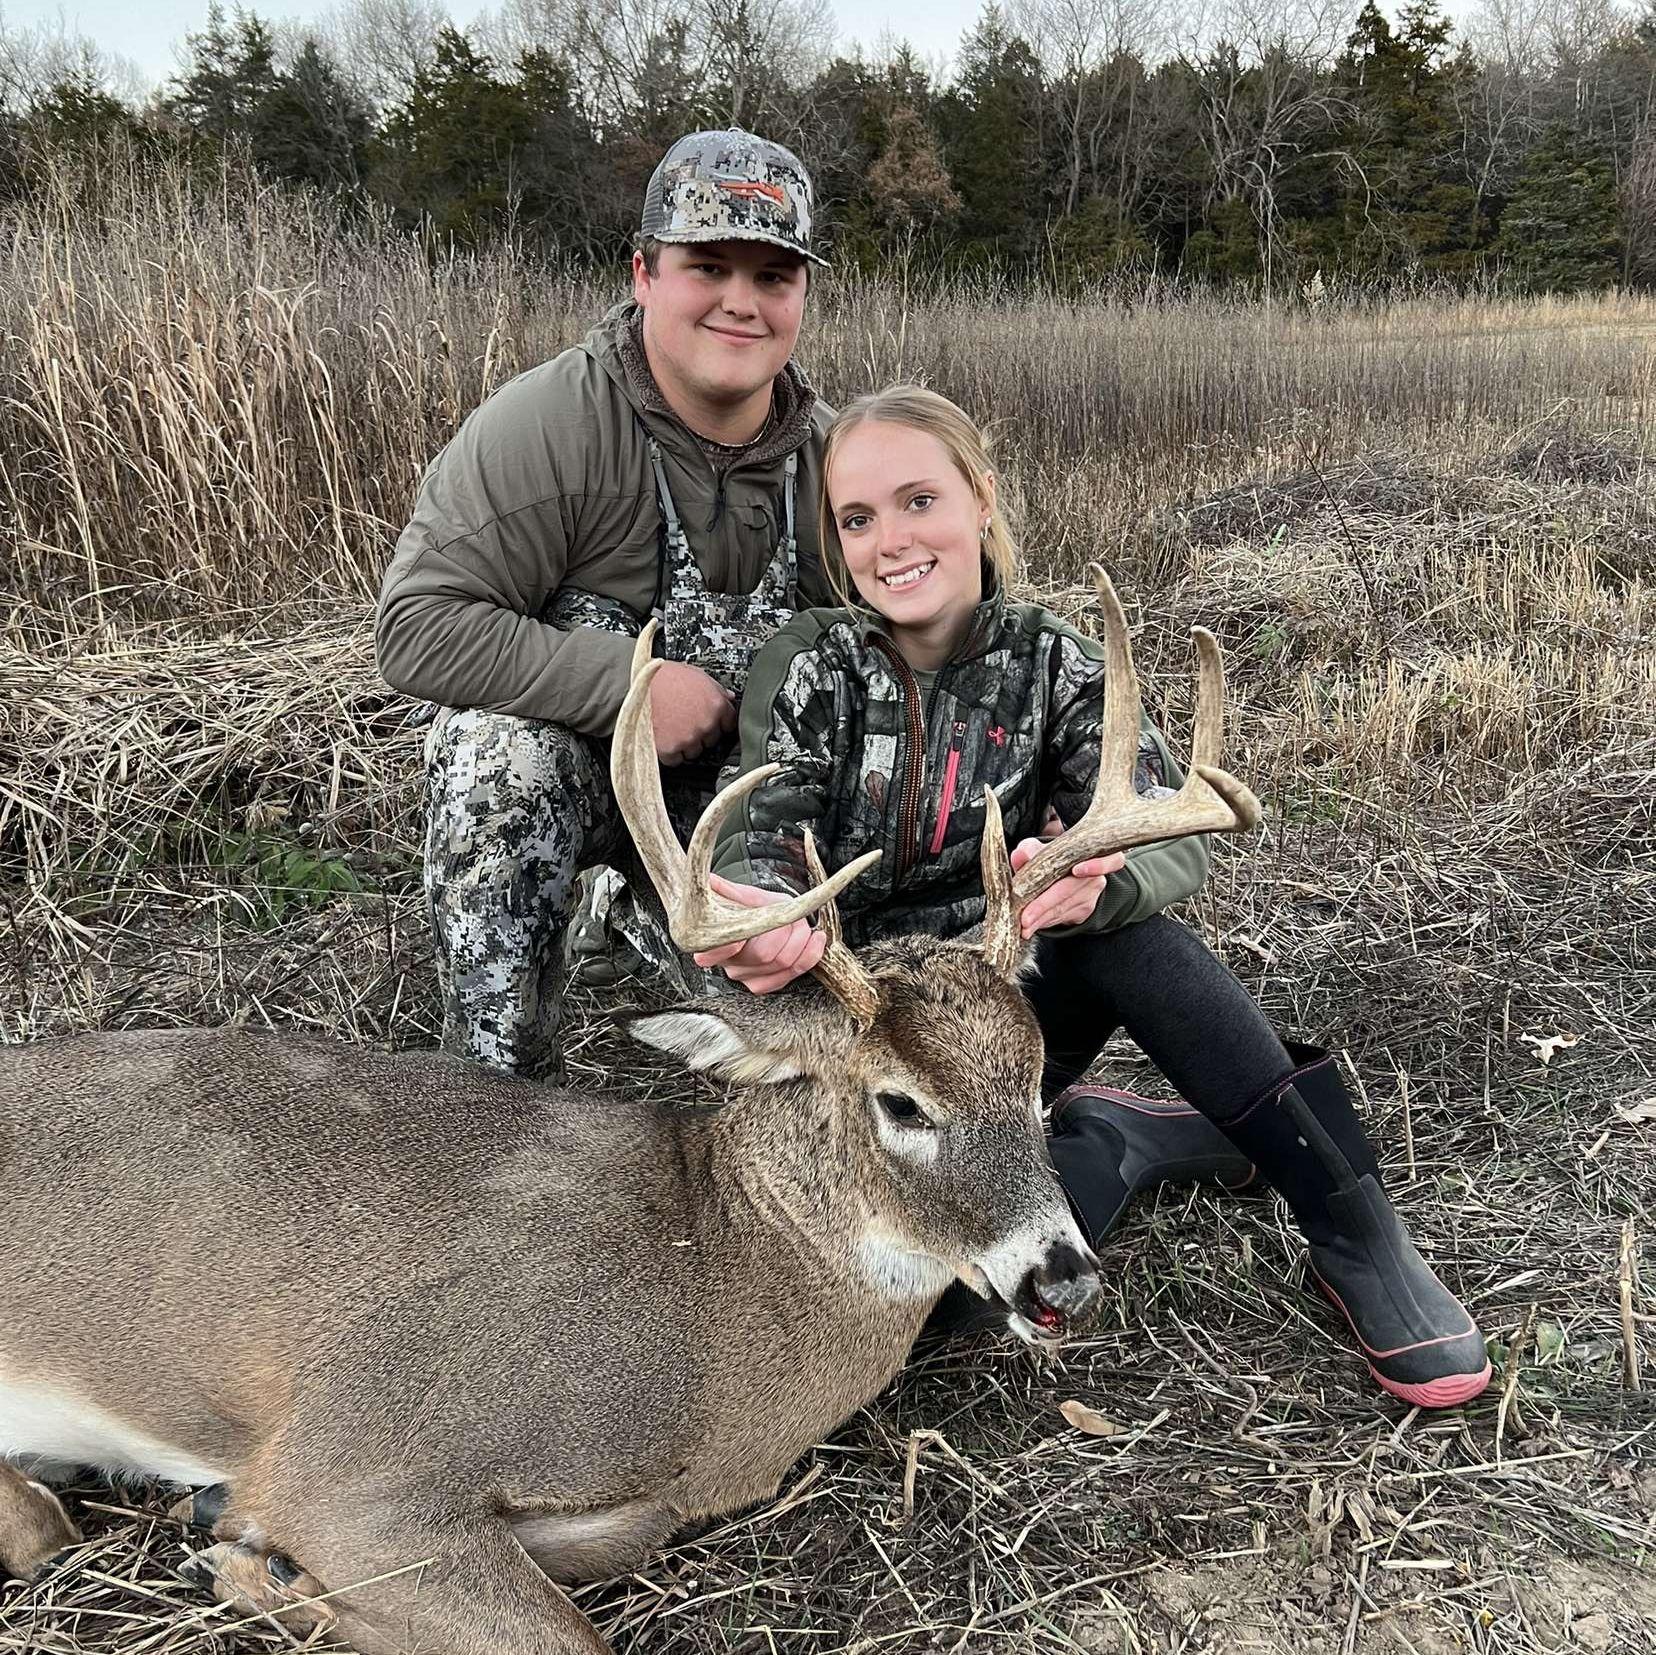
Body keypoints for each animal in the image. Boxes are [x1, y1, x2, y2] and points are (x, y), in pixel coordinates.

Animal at [0, 572, 1260, 1655]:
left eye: (1035, 1073)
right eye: (900, 1100)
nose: (1063, 1274)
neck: (716, 1300)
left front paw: (241, 1554)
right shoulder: (360, 1453)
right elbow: (565, 1631)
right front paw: (243, 1558)